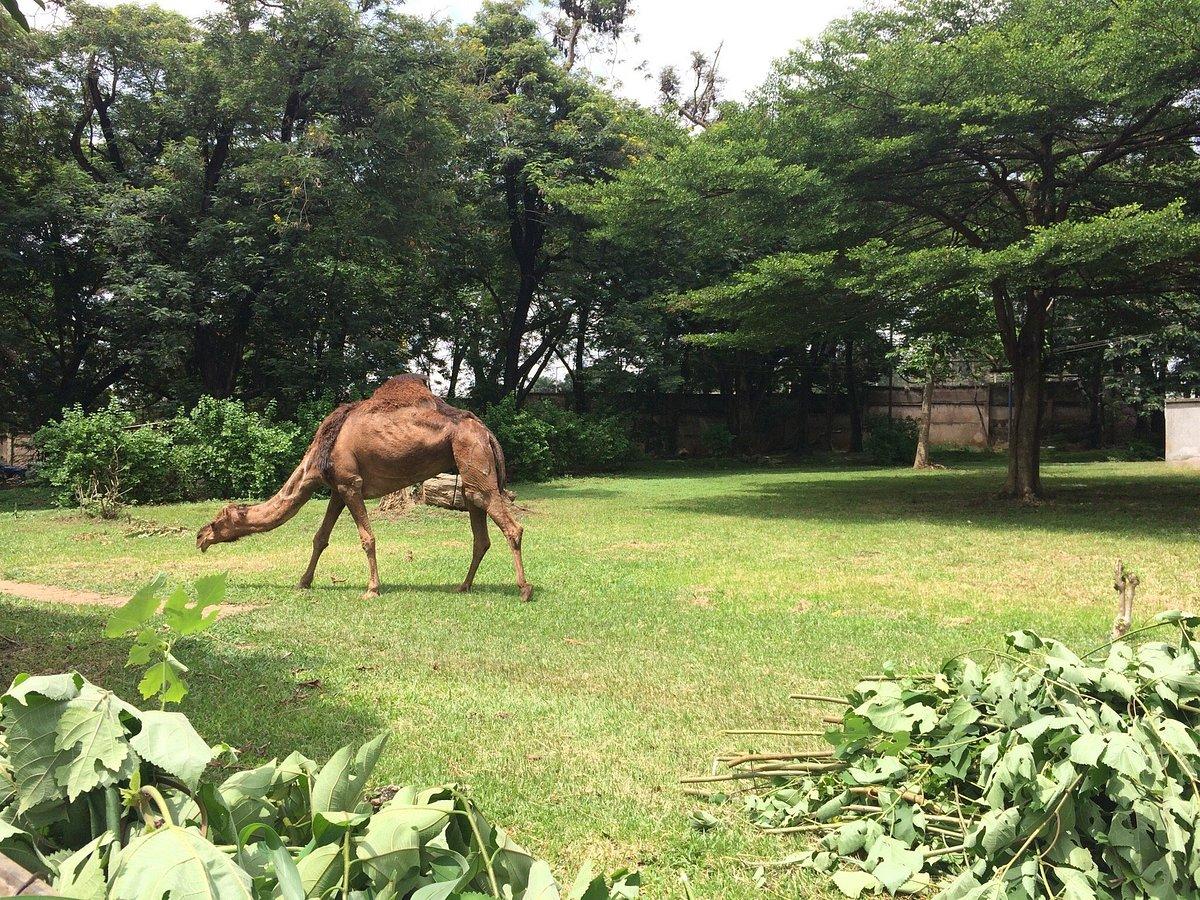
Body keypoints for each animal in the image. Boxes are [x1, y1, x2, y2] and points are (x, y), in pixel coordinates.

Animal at [194, 376, 532, 602]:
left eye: (218, 521)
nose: (199, 538)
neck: (319, 454)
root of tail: (486, 431)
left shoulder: (350, 484)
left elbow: (367, 539)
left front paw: (372, 589)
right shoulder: (336, 489)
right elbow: (320, 538)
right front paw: (303, 582)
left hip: (471, 453)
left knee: (510, 525)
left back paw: (524, 590)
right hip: (468, 467)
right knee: (479, 528)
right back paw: (463, 586)